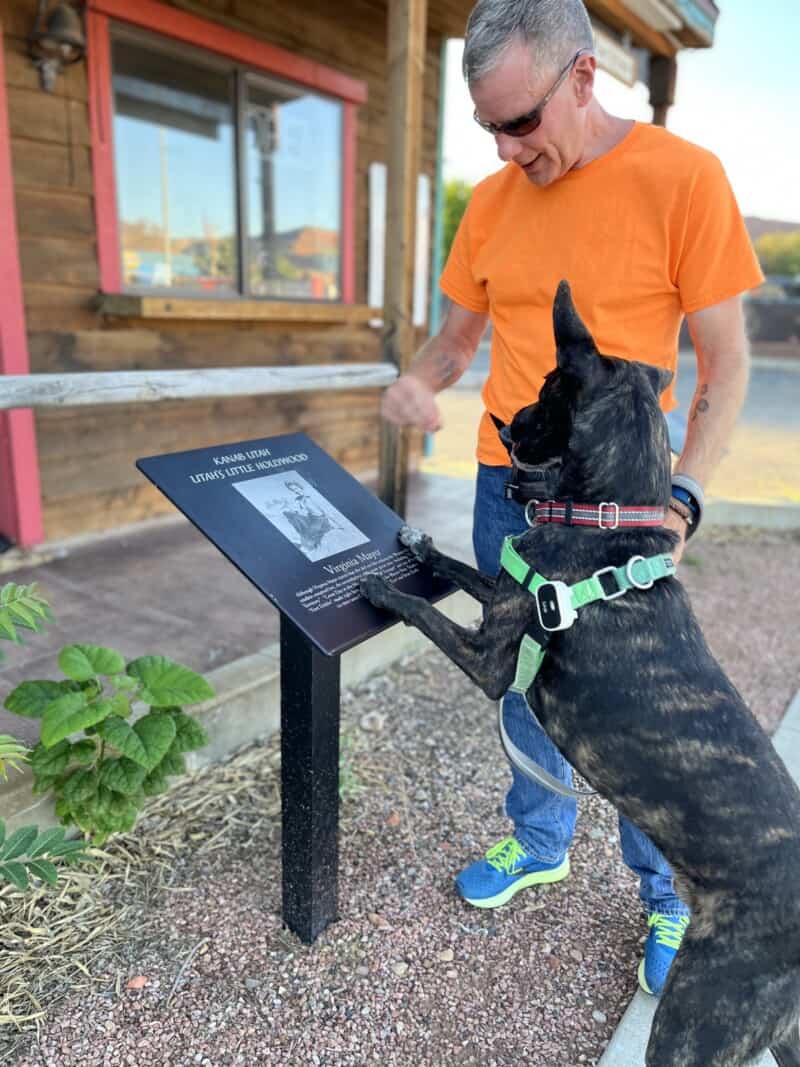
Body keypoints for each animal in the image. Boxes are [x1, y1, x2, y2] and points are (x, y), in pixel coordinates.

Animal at [362, 279, 800, 1062]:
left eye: (546, 389)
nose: (505, 421)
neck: (608, 526)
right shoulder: (505, 591)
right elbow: (460, 568)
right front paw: (418, 542)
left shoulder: (488, 659)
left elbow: (423, 611)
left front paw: (385, 590)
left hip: (695, 1019)